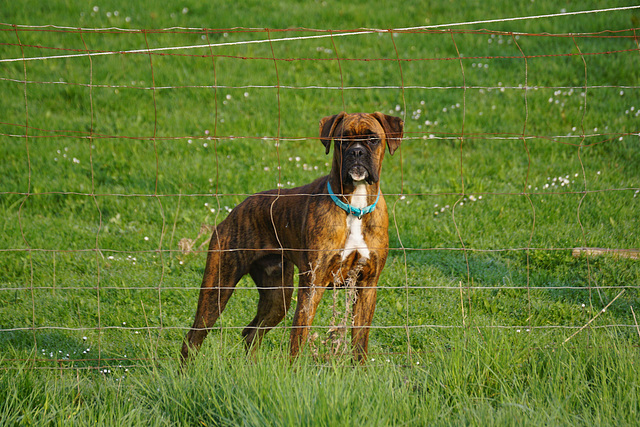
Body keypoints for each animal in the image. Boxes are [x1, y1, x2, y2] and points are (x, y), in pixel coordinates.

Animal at [180, 112, 402, 362]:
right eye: (342, 140)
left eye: (373, 140)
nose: (356, 152)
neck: (355, 206)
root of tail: (235, 210)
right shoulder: (312, 285)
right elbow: (298, 338)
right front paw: (294, 369)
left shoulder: (367, 286)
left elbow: (359, 343)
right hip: (217, 288)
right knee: (193, 337)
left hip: (277, 297)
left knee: (251, 332)